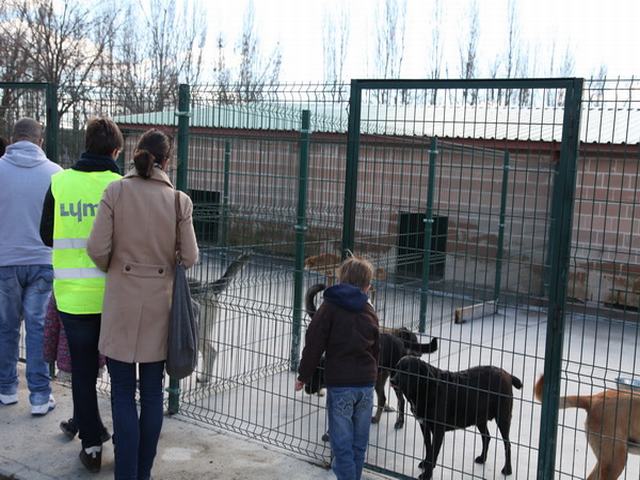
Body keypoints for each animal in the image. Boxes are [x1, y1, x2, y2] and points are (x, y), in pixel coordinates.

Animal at [302, 284, 438, 432]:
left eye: (314, 377)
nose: (306, 389)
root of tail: (399, 340)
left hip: (394, 378)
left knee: (399, 400)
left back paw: (399, 421)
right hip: (380, 379)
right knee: (382, 398)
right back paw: (377, 417)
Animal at [390, 354, 520, 478]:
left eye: (407, 370)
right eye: (396, 369)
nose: (392, 380)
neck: (424, 388)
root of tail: (507, 374)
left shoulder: (438, 430)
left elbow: (433, 451)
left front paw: (427, 474)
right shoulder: (424, 425)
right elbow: (428, 446)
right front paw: (426, 463)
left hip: (503, 418)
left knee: (507, 444)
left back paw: (507, 469)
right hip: (480, 418)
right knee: (486, 437)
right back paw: (482, 458)